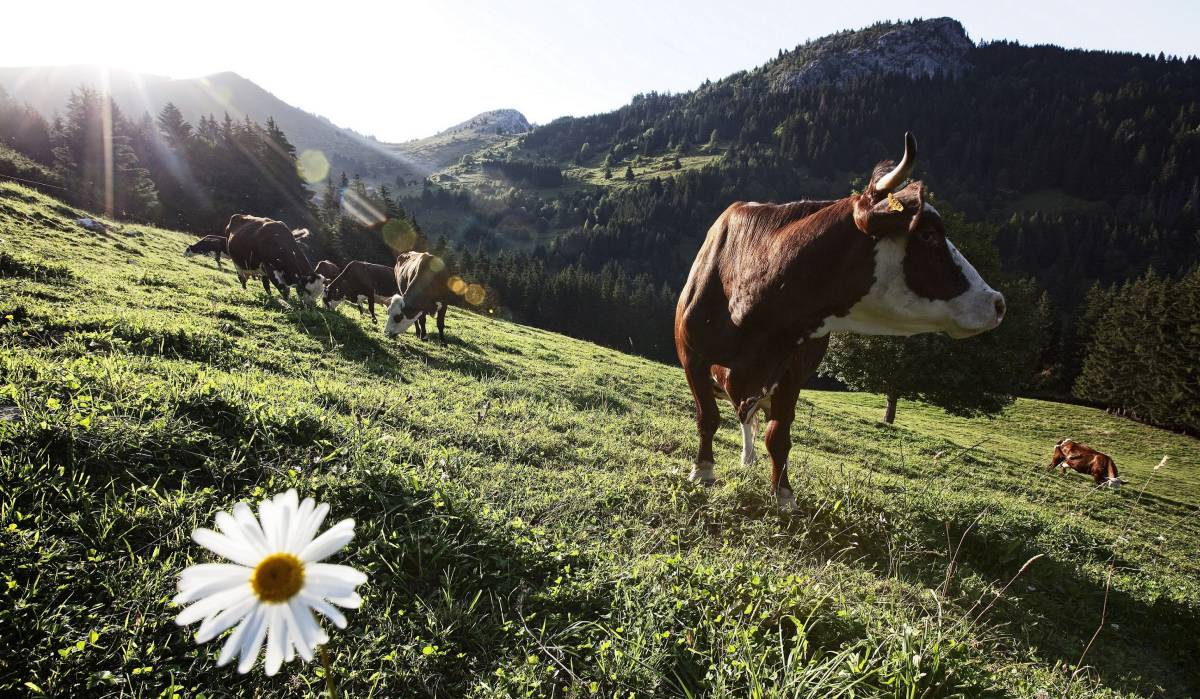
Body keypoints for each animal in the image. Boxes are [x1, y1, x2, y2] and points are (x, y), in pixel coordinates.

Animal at [681, 134, 1008, 511]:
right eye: (927, 234)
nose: (997, 302)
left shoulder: (791, 374)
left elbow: (778, 437)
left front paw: (783, 496)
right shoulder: (692, 356)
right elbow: (708, 417)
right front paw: (703, 471)